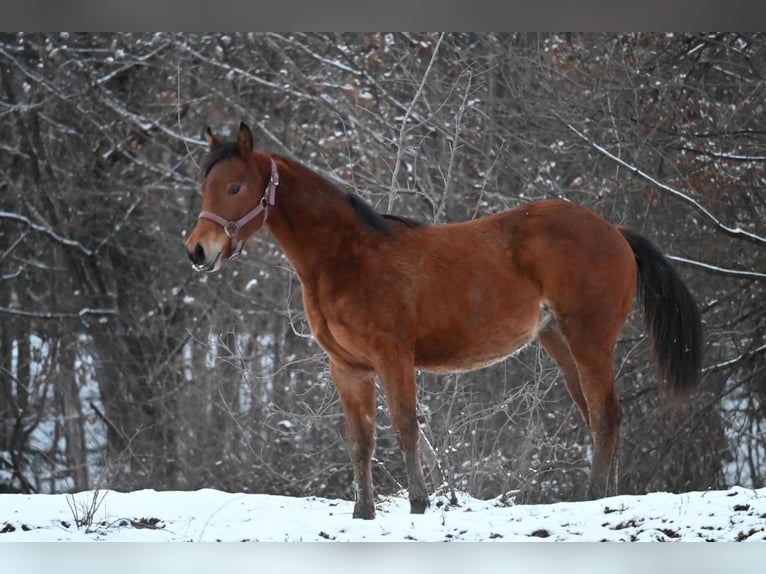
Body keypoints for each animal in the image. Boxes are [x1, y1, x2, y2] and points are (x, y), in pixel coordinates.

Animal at [185, 122, 703, 519]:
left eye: (235, 187)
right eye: (205, 185)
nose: (198, 251)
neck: (347, 257)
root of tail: (614, 231)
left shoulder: (393, 356)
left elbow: (405, 425)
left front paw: (418, 503)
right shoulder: (348, 369)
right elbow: (360, 440)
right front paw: (363, 512)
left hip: (589, 339)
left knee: (606, 413)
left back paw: (595, 498)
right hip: (561, 344)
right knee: (596, 415)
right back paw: (605, 497)